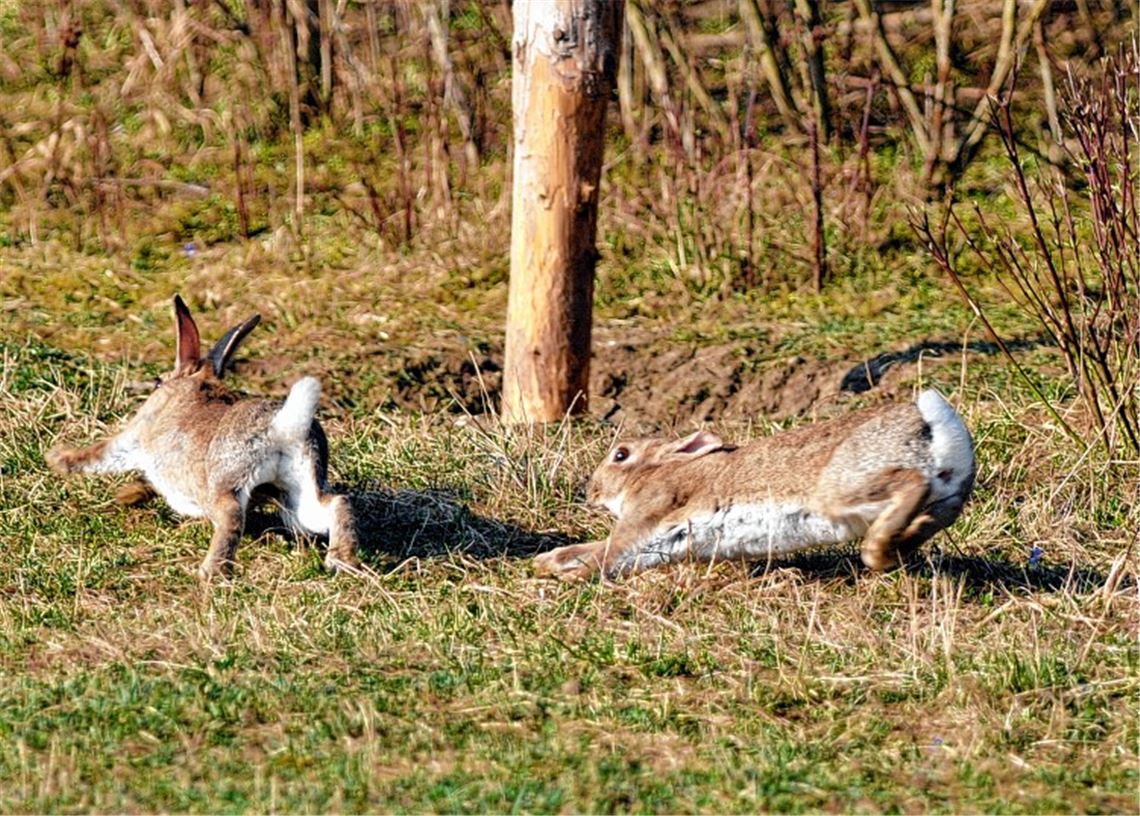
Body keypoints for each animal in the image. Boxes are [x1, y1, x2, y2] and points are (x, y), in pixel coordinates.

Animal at [46, 295, 360, 580]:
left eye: (158, 382)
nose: (157, 383)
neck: (198, 379)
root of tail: (281, 427)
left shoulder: (133, 437)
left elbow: (96, 455)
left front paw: (57, 458)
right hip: (298, 493)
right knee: (335, 504)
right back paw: (342, 561)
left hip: (227, 481)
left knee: (231, 518)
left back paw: (211, 573)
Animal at [534, 389, 974, 580]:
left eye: (621, 455)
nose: (591, 491)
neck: (659, 471)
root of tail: (932, 423)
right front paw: (549, 561)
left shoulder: (649, 512)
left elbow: (608, 553)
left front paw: (567, 575)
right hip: (944, 491)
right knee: (941, 510)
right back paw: (902, 543)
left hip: (845, 488)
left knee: (911, 482)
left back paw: (877, 551)